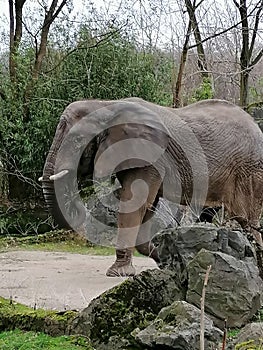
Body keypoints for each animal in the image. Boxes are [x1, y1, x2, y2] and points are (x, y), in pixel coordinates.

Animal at [39, 98, 263, 276]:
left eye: (77, 141)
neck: (105, 104)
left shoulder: (151, 159)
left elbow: (134, 203)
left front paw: (118, 273)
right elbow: (146, 207)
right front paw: (164, 261)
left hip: (249, 171)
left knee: (246, 219)